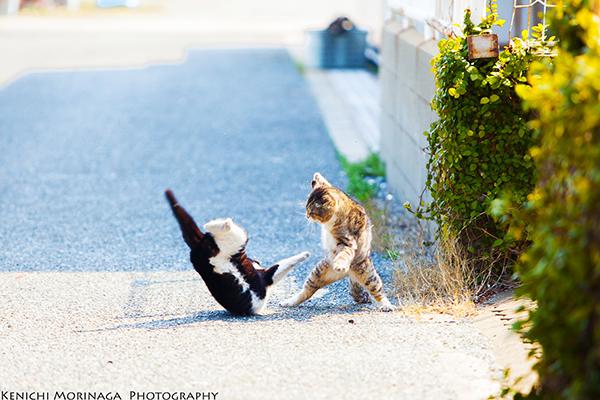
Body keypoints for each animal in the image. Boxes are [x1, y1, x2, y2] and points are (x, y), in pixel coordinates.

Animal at [165, 189, 310, 314]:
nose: (257, 262)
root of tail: (199, 245)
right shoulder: (268, 278)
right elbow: (285, 263)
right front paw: (305, 254)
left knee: (211, 228)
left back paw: (220, 224)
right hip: (237, 240)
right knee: (221, 228)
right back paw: (225, 223)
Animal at [280, 173, 394, 310]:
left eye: (311, 211)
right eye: (306, 208)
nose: (307, 215)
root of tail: (349, 273)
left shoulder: (348, 242)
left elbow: (344, 254)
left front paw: (339, 264)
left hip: (368, 274)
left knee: (377, 290)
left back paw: (386, 305)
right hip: (319, 272)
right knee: (307, 291)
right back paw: (289, 302)